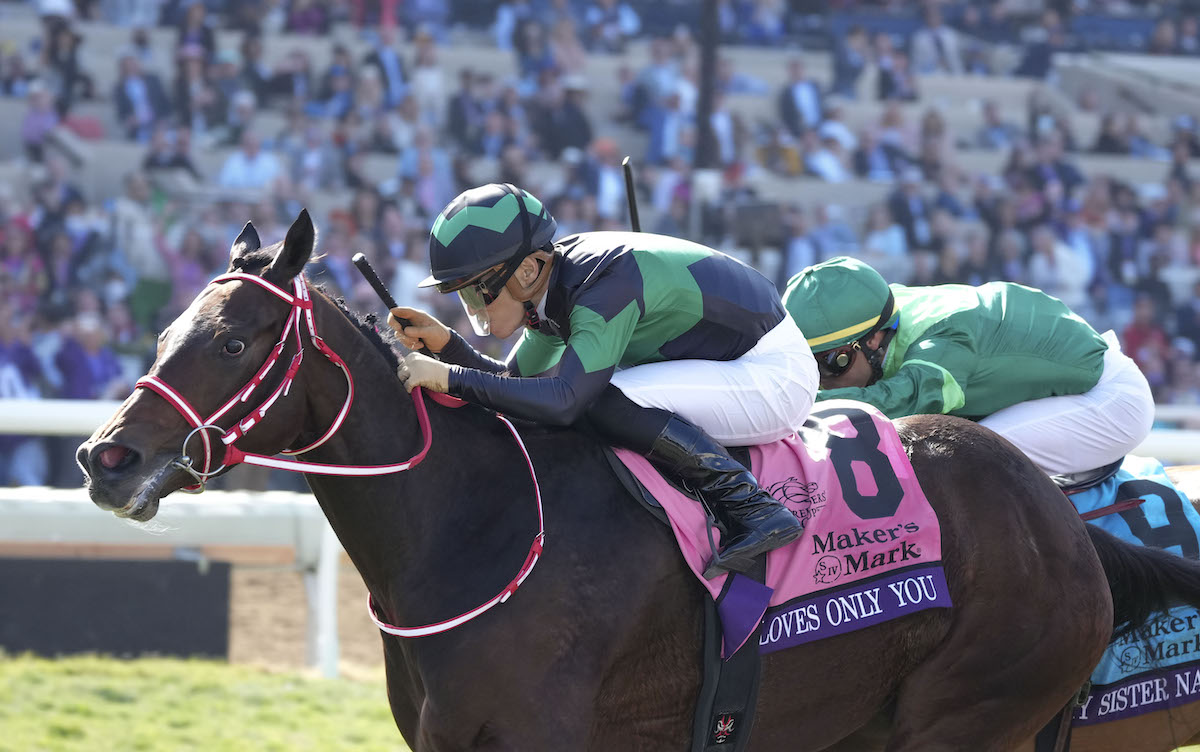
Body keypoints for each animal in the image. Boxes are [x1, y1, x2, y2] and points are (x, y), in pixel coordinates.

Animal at [72, 209, 1200, 748]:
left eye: (236, 337)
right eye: (165, 330)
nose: (104, 456)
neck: (478, 527)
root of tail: (1062, 521)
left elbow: (579, 385)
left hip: (964, 719)